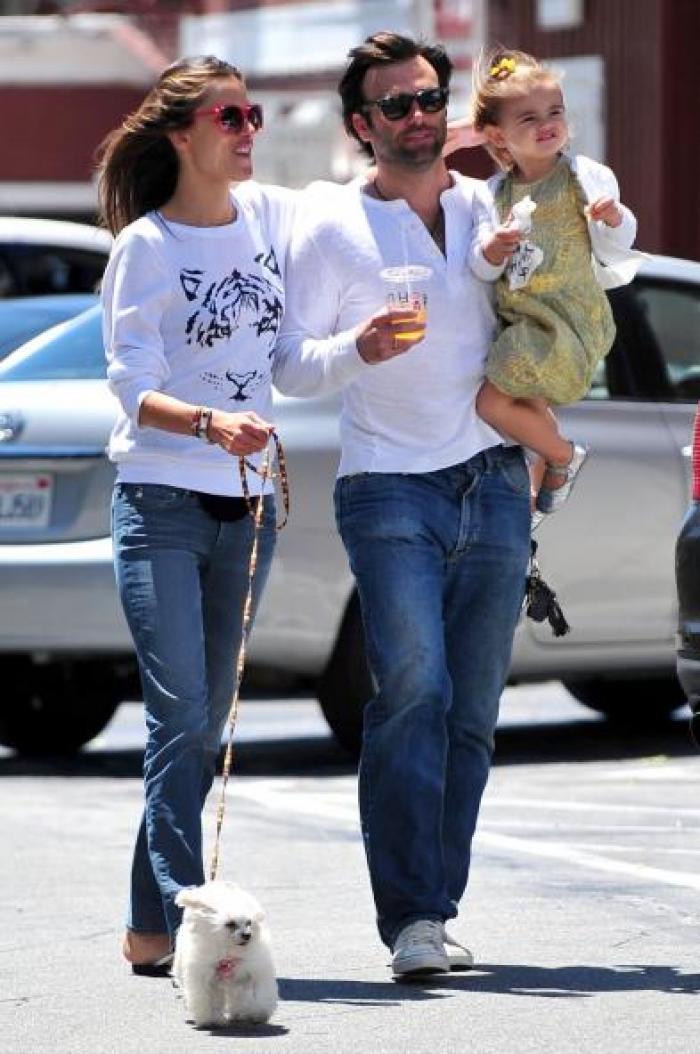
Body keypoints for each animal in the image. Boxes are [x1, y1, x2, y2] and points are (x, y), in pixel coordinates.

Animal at [173, 881, 278, 1028]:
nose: (247, 935)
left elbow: (260, 993)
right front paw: (208, 1018)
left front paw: (258, 1013)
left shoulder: (255, 971)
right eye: (230, 924)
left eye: (249, 922)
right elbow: (205, 999)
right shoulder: (204, 977)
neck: (228, 952)